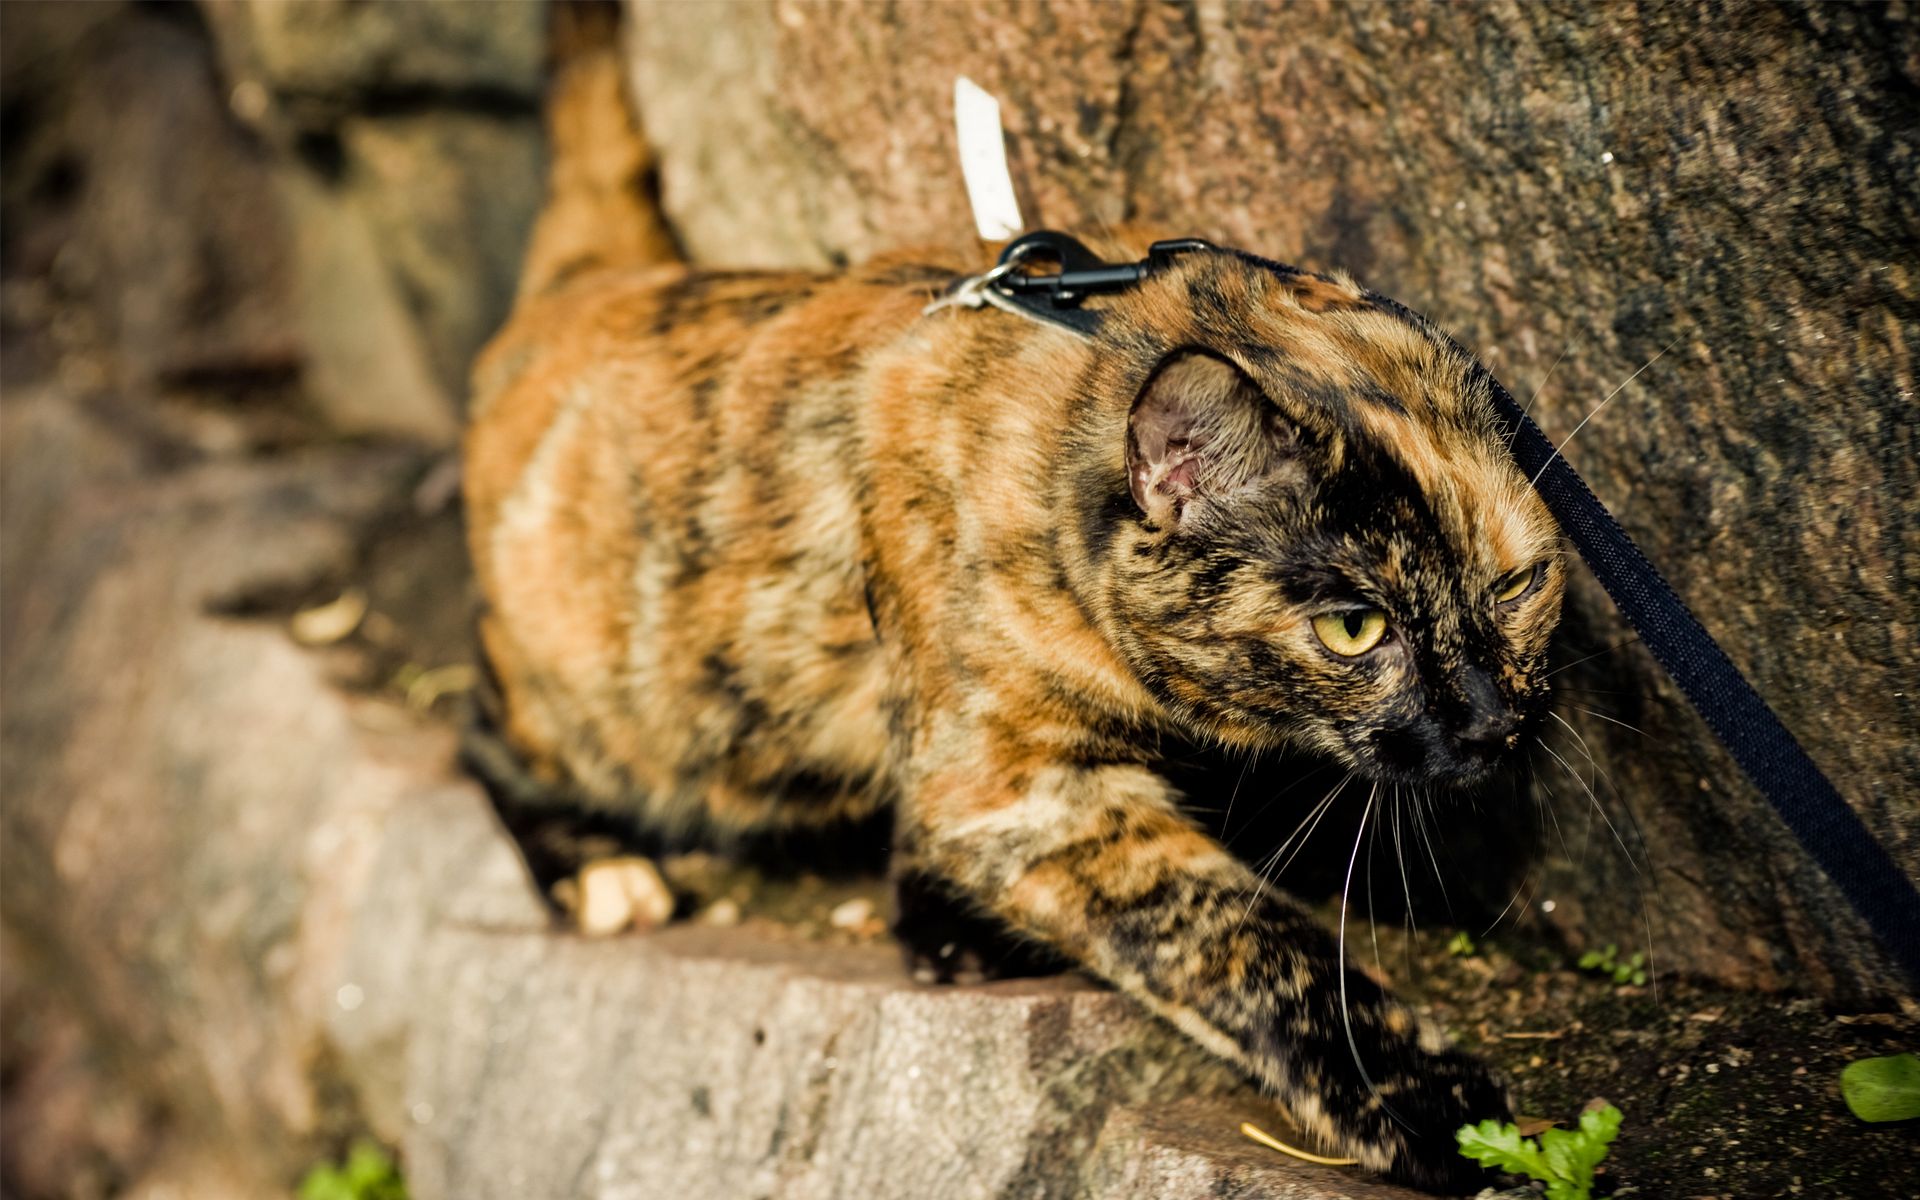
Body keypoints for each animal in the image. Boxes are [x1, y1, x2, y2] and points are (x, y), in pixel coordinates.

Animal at [460, 25, 1559, 1190]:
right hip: (616, 710)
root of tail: (584, 291)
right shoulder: (1022, 787)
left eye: (1518, 583)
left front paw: (939, 926)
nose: (1493, 718)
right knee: (482, 732)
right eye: (1356, 626)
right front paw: (1428, 1106)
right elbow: (1245, 943)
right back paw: (601, 871)